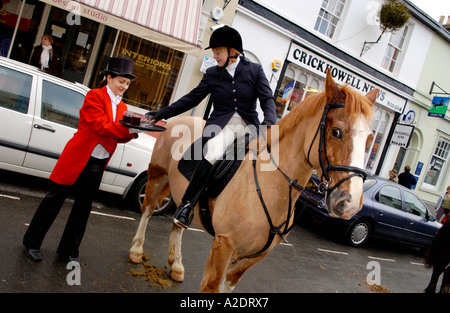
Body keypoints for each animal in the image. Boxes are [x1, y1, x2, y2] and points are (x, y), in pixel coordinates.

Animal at [127, 69, 376, 292]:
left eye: (369, 139)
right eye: (336, 132)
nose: (350, 203)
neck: (271, 185)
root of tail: (179, 121)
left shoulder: (252, 258)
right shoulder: (223, 246)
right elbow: (211, 287)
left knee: (178, 223)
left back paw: (176, 265)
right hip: (157, 177)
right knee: (148, 210)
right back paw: (137, 251)